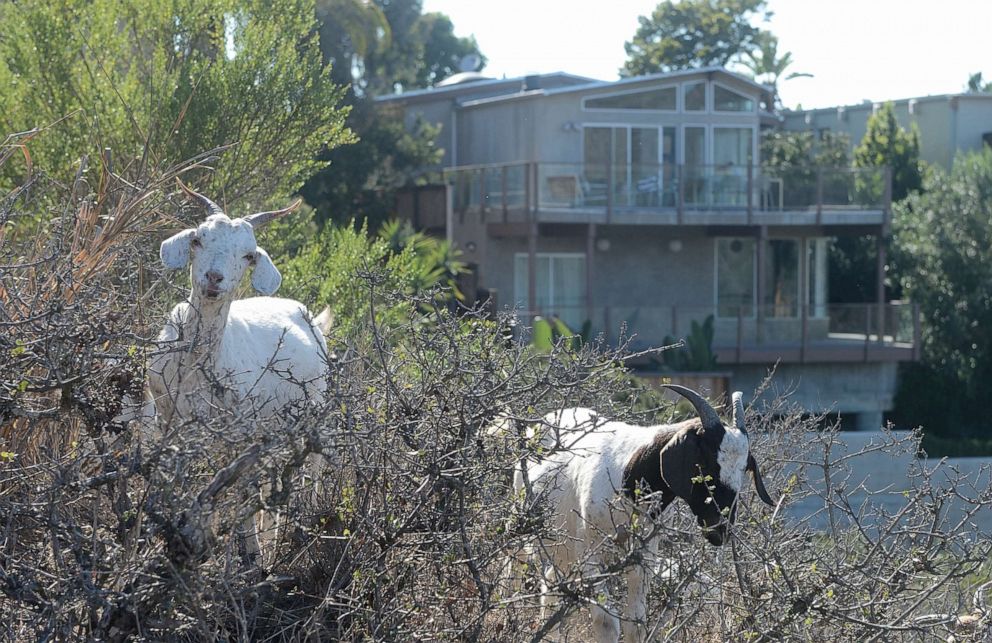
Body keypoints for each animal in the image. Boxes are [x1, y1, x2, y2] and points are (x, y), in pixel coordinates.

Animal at [147, 182, 332, 568]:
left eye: (248, 255)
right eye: (198, 239)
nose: (214, 278)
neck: (197, 367)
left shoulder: (241, 434)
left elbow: (242, 496)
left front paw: (249, 558)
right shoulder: (169, 423)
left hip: (310, 419)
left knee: (305, 474)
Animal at [516, 384, 780, 640]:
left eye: (744, 468)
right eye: (705, 463)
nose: (720, 528)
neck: (629, 471)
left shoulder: (643, 557)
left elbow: (636, 622)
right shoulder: (591, 551)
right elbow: (606, 623)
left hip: (562, 551)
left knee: (551, 584)